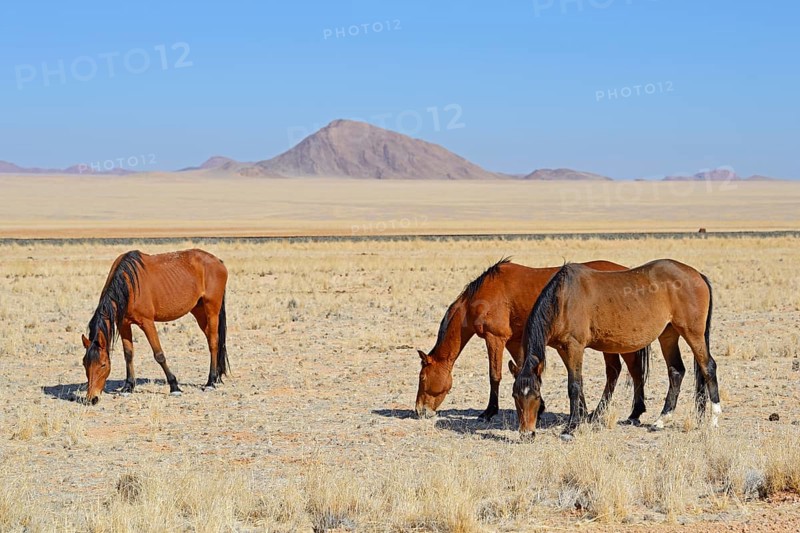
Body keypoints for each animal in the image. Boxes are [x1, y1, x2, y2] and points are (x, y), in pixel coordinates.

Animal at [81, 249, 229, 404]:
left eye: (103, 364)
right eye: (85, 363)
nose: (91, 398)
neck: (128, 285)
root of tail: (218, 261)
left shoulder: (147, 322)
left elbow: (159, 355)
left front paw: (174, 386)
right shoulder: (123, 324)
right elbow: (128, 354)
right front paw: (128, 386)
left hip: (212, 310)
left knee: (213, 343)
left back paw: (210, 382)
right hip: (199, 311)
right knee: (212, 339)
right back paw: (217, 377)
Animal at [415, 259, 650, 423]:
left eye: (423, 378)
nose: (419, 410)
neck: (481, 295)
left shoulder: (495, 338)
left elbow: (495, 375)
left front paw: (489, 411)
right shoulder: (514, 341)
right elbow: (521, 368)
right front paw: (541, 406)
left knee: (625, 370)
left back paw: (627, 412)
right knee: (621, 370)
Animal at [512, 259, 719, 440]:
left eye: (536, 396)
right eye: (515, 396)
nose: (526, 434)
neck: (563, 299)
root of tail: (696, 274)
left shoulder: (574, 347)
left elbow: (574, 386)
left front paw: (571, 427)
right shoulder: (563, 349)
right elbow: (578, 384)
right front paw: (583, 417)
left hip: (693, 333)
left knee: (708, 366)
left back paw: (714, 419)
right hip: (668, 335)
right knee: (676, 371)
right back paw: (661, 420)